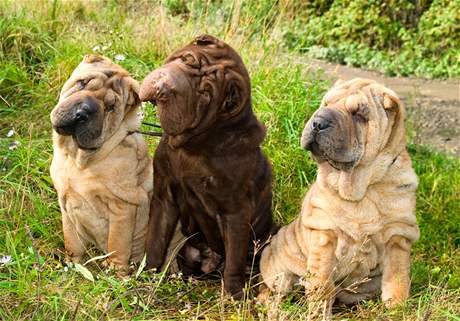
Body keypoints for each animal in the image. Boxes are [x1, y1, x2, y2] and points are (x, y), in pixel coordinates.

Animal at [50, 53, 152, 272]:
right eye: (82, 83)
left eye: (110, 107)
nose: (82, 113)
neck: (77, 159)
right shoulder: (65, 203)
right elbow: (71, 239)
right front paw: (73, 265)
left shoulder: (122, 207)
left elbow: (117, 243)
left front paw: (115, 272)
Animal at [140, 33, 274, 296]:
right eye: (186, 60)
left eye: (205, 93)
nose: (163, 89)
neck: (194, 147)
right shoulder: (164, 196)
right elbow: (156, 238)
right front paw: (147, 274)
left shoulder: (235, 212)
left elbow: (234, 259)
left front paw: (233, 295)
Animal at [258, 78, 420, 310]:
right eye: (325, 103)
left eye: (359, 114)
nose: (318, 122)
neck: (361, 186)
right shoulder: (324, 231)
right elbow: (322, 279)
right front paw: (319, 308)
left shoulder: (398, 234)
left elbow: (397, 276)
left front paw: (396, 307)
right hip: (278, 269)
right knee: (274, 285)